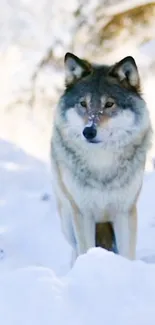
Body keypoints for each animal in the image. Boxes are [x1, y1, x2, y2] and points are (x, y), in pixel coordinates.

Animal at [50, 52, 151, 264]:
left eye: (109, 104)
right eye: (83, 104)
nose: (89, 131)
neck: (102, 164)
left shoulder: (125, 212)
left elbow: (127, 254)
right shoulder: (82, 213)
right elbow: (85, 249)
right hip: (67, 222)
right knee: (75, 250)